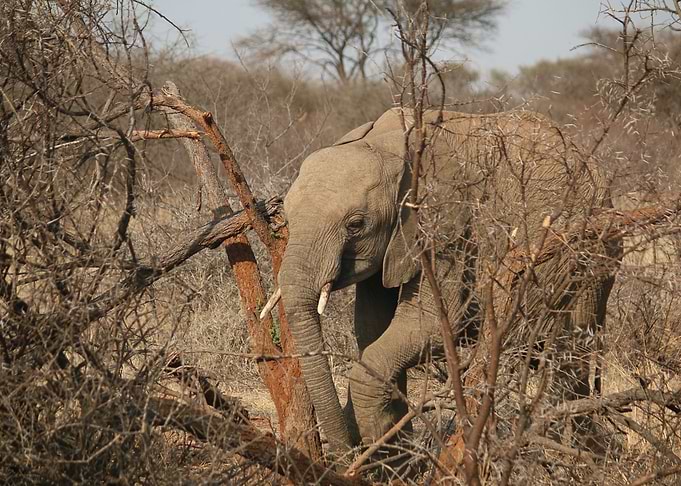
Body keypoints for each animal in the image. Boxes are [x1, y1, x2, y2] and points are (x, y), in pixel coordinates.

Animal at [274, 108, 620, 457]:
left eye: (356, 225)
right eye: (286, 217)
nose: (344, 454)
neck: (389, 144)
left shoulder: (448, 229)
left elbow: (433, 326)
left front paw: (381, 449)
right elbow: (371, 330)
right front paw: (395, 457)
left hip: (589, 259)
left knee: (568, 357)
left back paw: (576, 452)